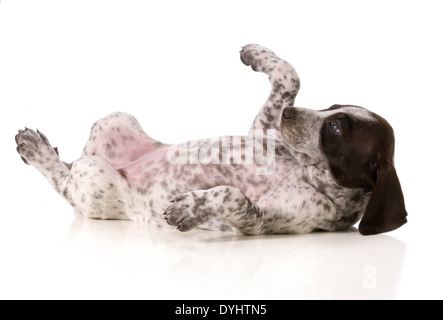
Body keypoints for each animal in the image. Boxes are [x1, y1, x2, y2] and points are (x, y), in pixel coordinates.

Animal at [15, 43, 408, 235]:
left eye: (336, 129)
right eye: (333, 107)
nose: (288, 115)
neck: (308, 173)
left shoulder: (262, 222)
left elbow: (232, 196)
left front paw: (191, 207)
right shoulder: (261, 134)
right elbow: (290, 76)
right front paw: (259, 55)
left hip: (96, 177)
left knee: (63, 179)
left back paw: (38, 151)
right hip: (115, 119)